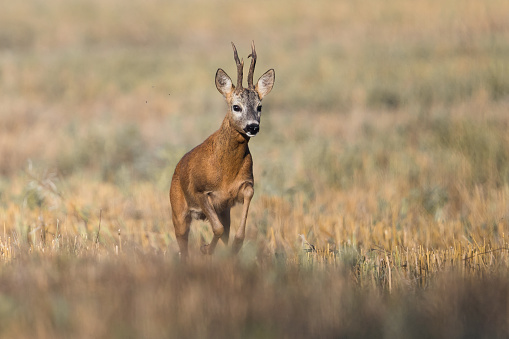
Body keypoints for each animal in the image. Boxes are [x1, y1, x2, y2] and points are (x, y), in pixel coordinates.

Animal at [170, 41, 274, 260]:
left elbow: (233, 230)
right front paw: (206, 249)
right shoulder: (200, 190)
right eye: (236, 106)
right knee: (183, 246)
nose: (253, 127)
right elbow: (216, 228)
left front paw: (233, 248)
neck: (225, 171)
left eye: (260, 106)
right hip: (178, 211)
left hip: (222, 212)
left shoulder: (243, 188)